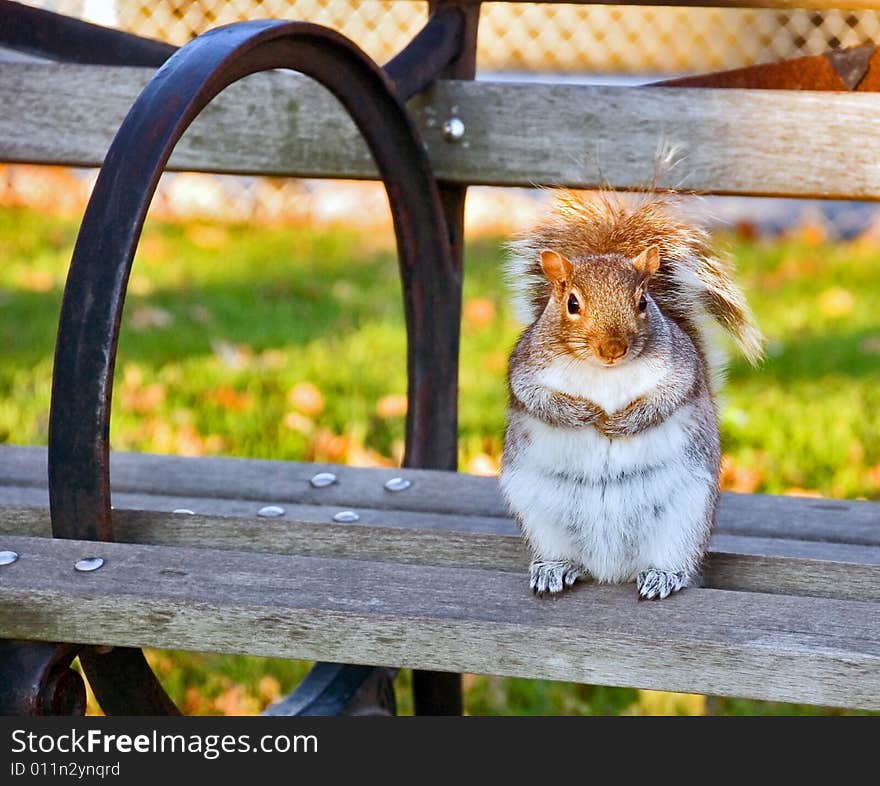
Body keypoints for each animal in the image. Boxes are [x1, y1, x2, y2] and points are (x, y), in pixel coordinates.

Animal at [502, 188, 764, 596]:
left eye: (642, 302)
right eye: (572, 303)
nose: (613, 348)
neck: (603, 373)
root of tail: (609, 571)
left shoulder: (680, 366)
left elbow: (667, 397)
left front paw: (622, 422)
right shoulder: (526, 367)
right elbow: (539, 400)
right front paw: (585, 414)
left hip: (684, 518)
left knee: (675, 559)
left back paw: (663, 576)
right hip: (540, 515)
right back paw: (554, 569)